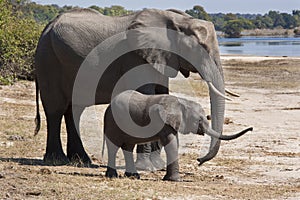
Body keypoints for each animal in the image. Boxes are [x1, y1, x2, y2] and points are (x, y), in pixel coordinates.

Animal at [35, 7, 226, 167]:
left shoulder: (162, 57)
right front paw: (146, 167)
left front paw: (156, 166)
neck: (176, 20)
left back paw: (81, 160)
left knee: (74, 109)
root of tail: (46, 27)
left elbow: (161, 93)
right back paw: (56, 160)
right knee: (55, 109)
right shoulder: (136, 58)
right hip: (48, 60)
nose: (199, 160)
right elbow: (146, 95)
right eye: (199, 49)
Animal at [103, 90, 253, 181]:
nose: (198, 160)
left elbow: (175, 142)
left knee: (128, 146)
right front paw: (175, 180)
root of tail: (108, 106)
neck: (182, 102)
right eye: (199, 120)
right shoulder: (162, 121)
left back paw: (133, 176)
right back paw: (112, 176)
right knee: (113, 147)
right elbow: (171, 143)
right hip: (112, 122)